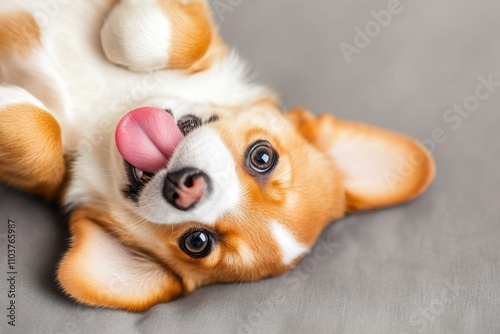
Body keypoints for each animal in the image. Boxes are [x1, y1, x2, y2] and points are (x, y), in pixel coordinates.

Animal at [0, 0, 434, 314]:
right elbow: (147, 36)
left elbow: (41, 140)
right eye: (263, 157)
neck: (106, 113)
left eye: (197, 242)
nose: (186, 188)